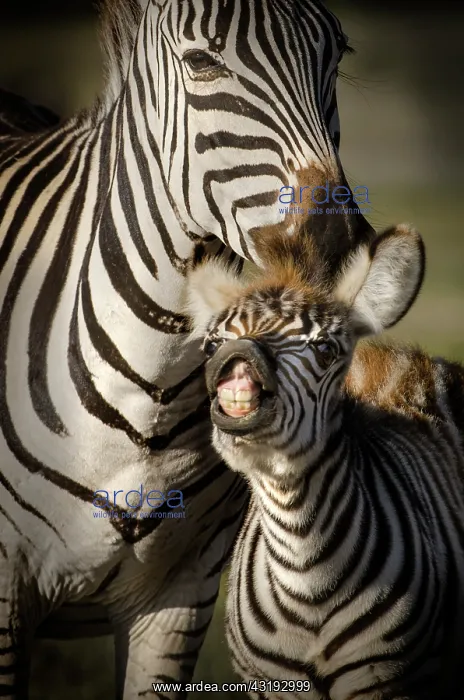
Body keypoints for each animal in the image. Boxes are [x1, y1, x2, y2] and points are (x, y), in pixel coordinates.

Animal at [0, 0, 375, 697]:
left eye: (335, 55)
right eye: (202, 63)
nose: (336, 252)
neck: (150, 391)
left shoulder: (182, 594)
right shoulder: (6, 588)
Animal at [186, 224, 464, 700]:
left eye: (325, 350)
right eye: (211, 345)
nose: (237, 355)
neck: (303, 567)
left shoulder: (386, 680)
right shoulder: (269, 684)